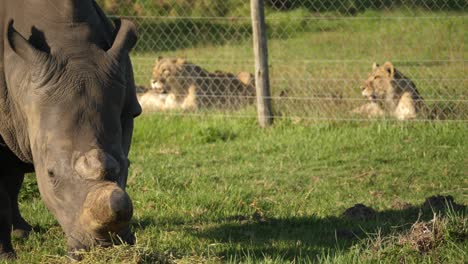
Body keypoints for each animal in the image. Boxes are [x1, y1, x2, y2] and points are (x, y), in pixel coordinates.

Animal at [0, 0, 142, 260]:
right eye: (50, 174)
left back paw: (24, 232)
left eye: (126, 166)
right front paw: (7, 257)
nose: (102, 247)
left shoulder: (128, 107)